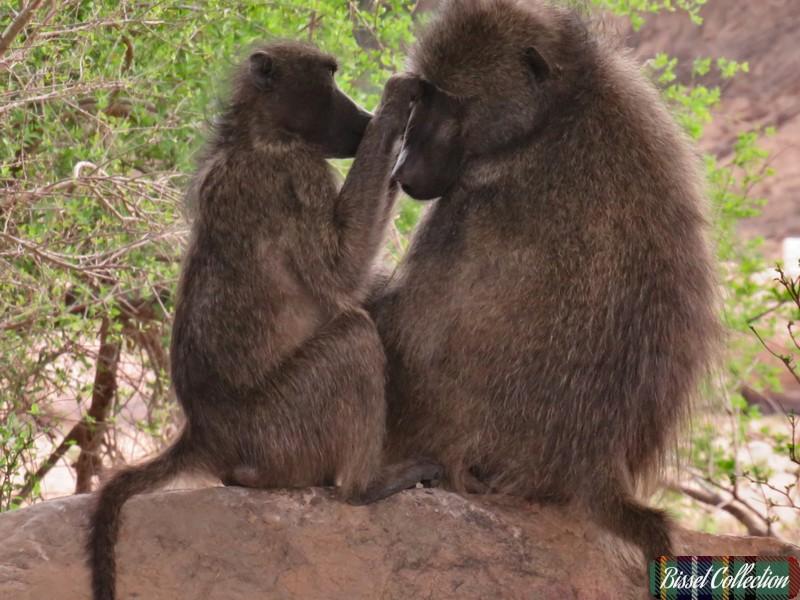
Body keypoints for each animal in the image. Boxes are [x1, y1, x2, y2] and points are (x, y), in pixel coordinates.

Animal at [87, 41, 440, 600]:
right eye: (331, 76)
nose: (363, 118)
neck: (256, 133)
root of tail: (204, 435)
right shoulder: (297, 174)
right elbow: (342, 272)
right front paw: (397, 103)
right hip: (279, 428)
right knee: (354, 339)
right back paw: (365, 487)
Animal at [369, 0, 721, 563]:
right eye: (425, 96)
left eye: (452, 104)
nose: (403, 170)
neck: (561, 106)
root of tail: (597, 463)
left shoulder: (472, 192)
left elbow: (408, 323)